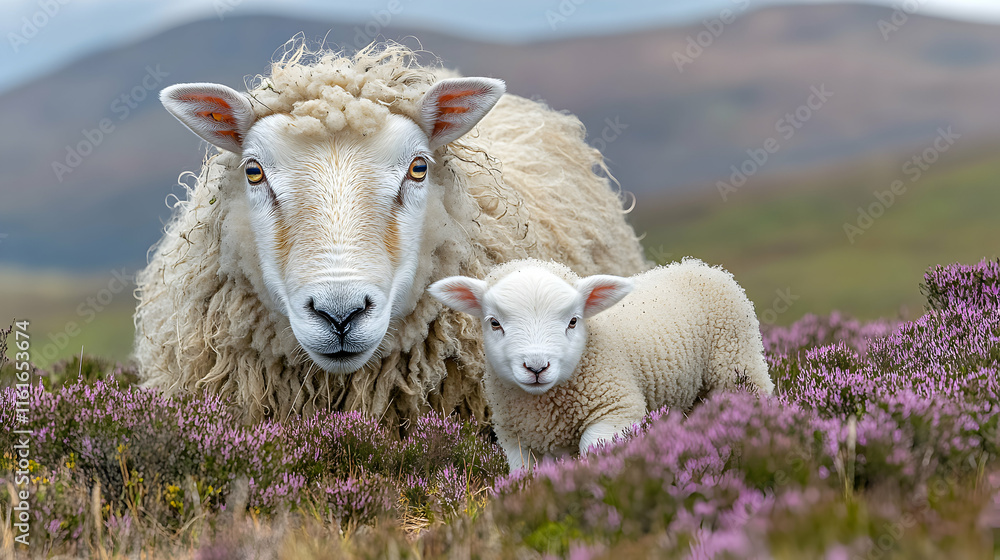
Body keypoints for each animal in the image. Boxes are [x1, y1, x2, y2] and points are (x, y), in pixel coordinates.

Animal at [429, 257, 773, 470]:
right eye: (494, 323)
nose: (537, 367)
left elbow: (593, 450)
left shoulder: (615, 410)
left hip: (736, 363)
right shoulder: (516, 436)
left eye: (573, 321)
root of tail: (701, 267)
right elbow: (524, 474)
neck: (544, 408)